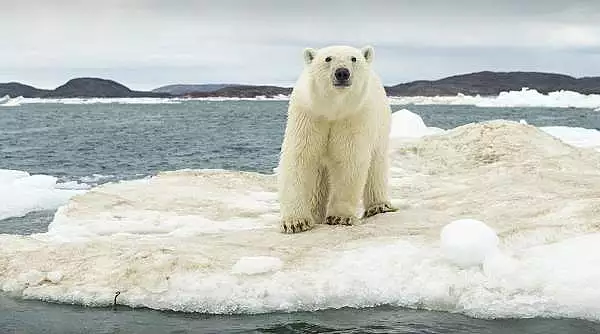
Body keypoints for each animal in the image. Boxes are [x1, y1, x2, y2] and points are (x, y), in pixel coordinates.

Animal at [278, 44, 398, 234]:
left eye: (353, 59)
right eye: (328, 58)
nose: (342, 72)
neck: (333, 110)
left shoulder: (353, 118)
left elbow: (348, 160)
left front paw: (339, 217)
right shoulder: (308, 116)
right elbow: (300, 159)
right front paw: (296, 222)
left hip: (380, 128)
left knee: (376, 165)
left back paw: (379, 206)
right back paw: (315, 213)